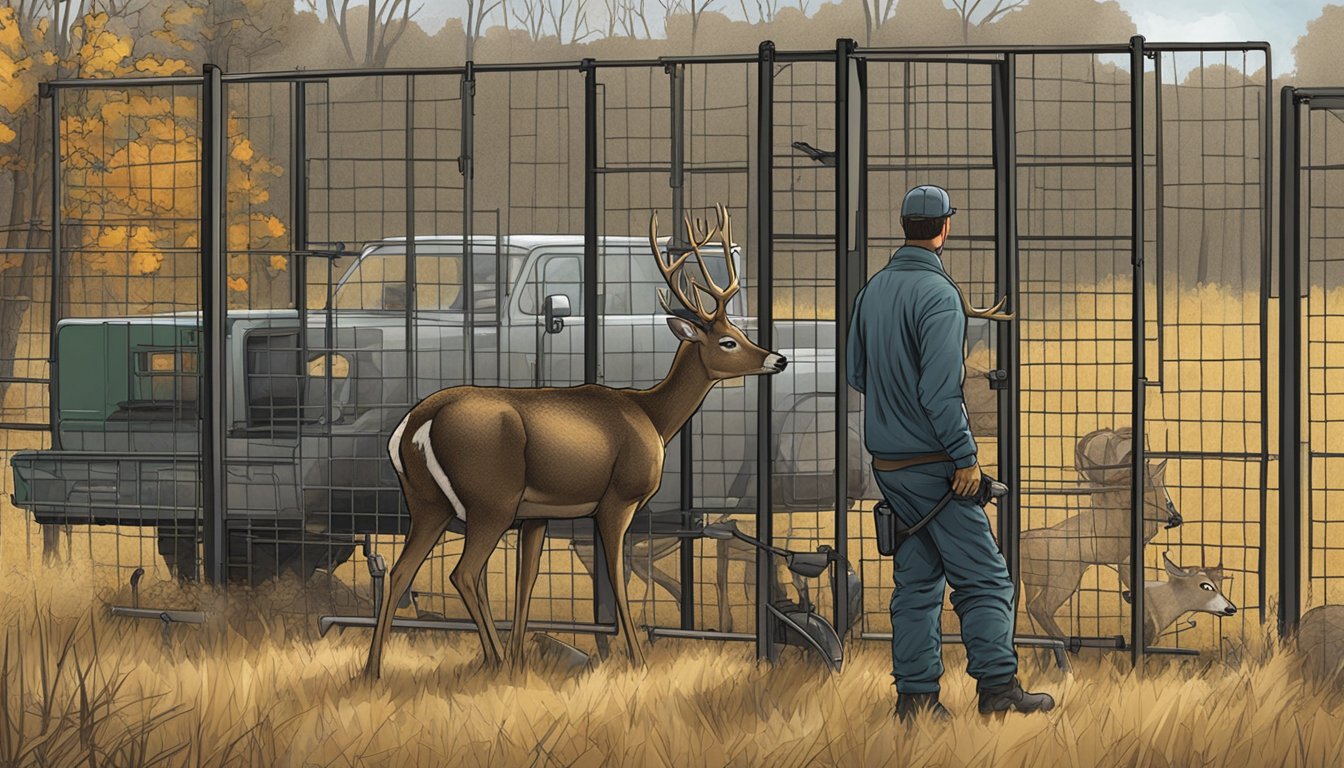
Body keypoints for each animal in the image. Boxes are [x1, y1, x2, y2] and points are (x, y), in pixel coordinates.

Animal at [368, 204, 784, 677]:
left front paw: (520, 658)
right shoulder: (617, 498)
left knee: (401, 571)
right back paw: (491, 659)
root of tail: (414, 423)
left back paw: (376, 668)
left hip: (427, 501)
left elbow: (526, 582)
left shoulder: (537, 515)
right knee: (464, 573)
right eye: (729, 341)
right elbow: (615, 578)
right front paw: (637, 659)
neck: (653, 417)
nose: (778, 358)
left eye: (743, 333)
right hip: (490, 498)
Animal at [1021, 430, 1182, 640]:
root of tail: (1025, 541)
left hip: (1040, 583)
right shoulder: (1126, 555)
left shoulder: (1125, 560)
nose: (1177, 518)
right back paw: (1064, 640)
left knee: (1030, 606)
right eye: (1163, 492)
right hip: (1064, 580)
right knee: (1040, 607)